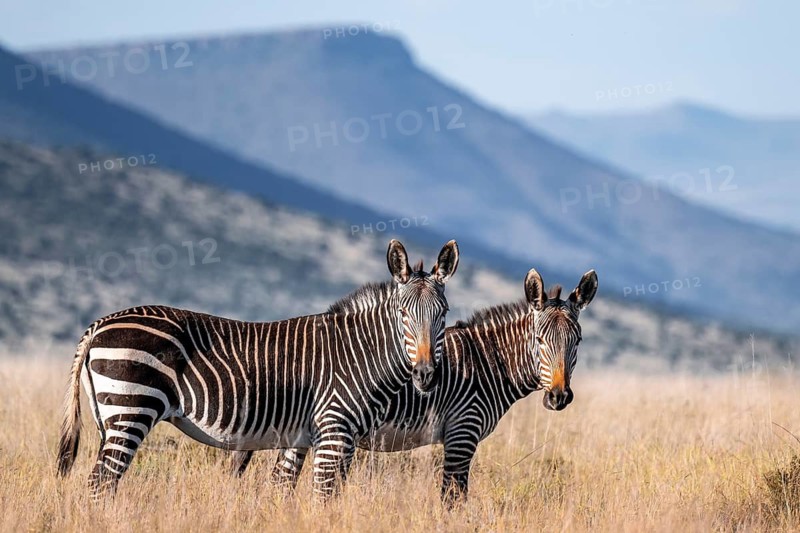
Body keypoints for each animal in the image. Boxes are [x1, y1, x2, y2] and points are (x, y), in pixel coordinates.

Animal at [56, 239, 460, 500]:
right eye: (403, 314)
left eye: (443, 314)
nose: (426, 374)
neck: (361, 354)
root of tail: (100, 323)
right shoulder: (333, 433)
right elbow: (323, 499)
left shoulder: (306, 438)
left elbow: (284, 491)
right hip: (133, 409)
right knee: (100, 484)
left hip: (109, 417)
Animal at [230, 267, 598, 504]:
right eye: (540, 340)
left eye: (578, 341)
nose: (559, 397)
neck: (489, 362)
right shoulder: (462, 433)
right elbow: (453, 500)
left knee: (280, 482)